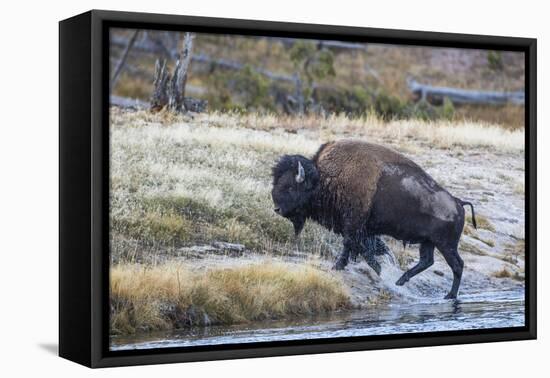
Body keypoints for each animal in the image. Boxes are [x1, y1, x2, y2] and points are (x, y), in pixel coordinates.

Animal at [272, 139, 478, 298]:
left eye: (290, 186)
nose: (277, 208)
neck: (324, 177)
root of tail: (458, 202)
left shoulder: (354, 224)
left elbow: (354, 246)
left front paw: (342, 266)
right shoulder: (360, 229)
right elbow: (362, 248)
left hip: (446, 245)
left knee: (457, 265)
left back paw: (449, 296)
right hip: (428, 242)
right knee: (427, 261)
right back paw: (401, 281)